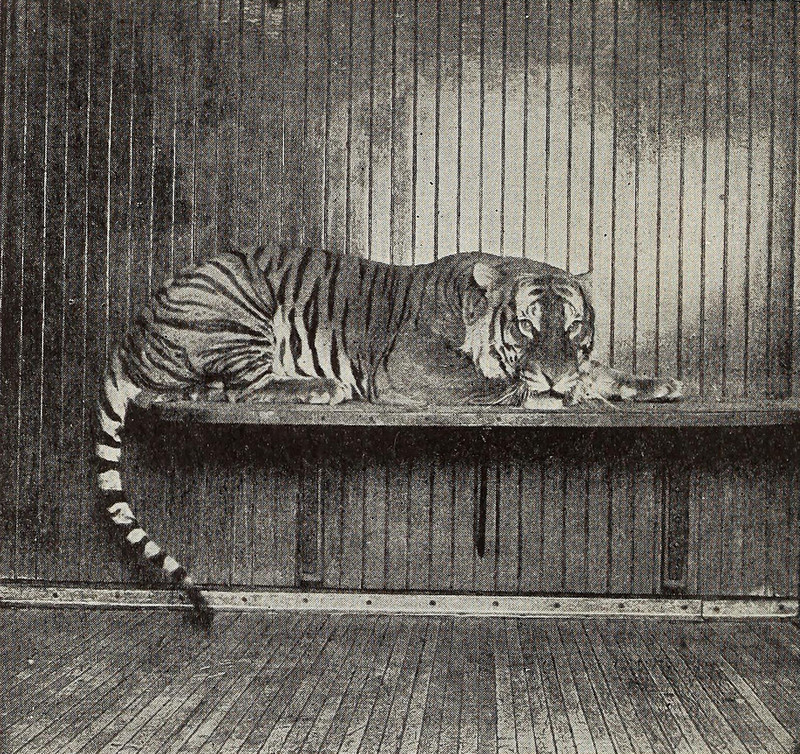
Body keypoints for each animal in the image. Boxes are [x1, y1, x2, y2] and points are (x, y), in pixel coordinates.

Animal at [96, 244, 682, 619]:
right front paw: (553, 391)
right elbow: (499, 383)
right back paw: (322, 387)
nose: (558, 375)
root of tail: (132, 329)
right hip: (239, 309)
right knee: (235, 389)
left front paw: (651, 383)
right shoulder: (412, 364)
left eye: (573, 324)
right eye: (526, 324)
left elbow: (601, 370)